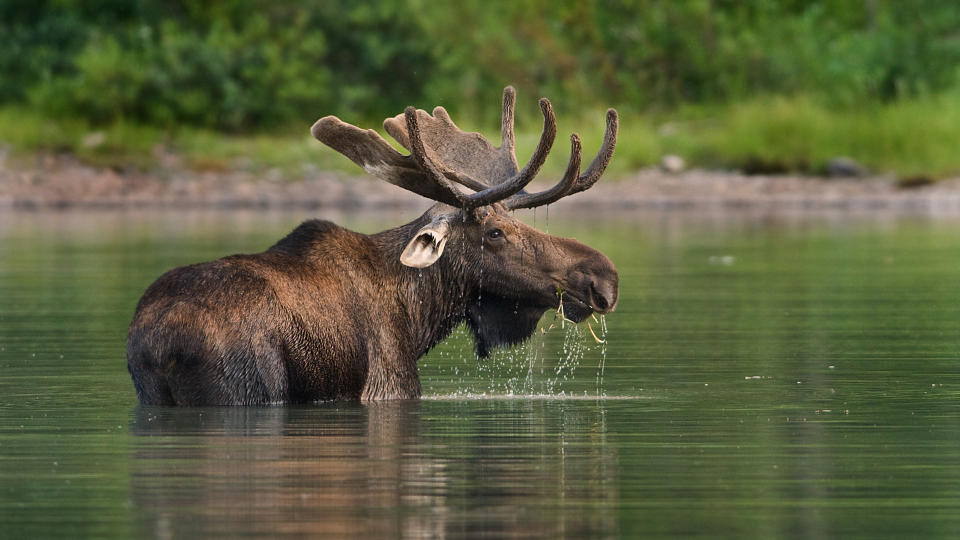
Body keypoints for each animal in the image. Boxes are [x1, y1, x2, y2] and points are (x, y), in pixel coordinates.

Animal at [127, 86, 620, 402]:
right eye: (495, 233)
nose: (604, 278)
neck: (420, 315)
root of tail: (159, 342)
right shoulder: (389, 385)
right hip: (246, 388)